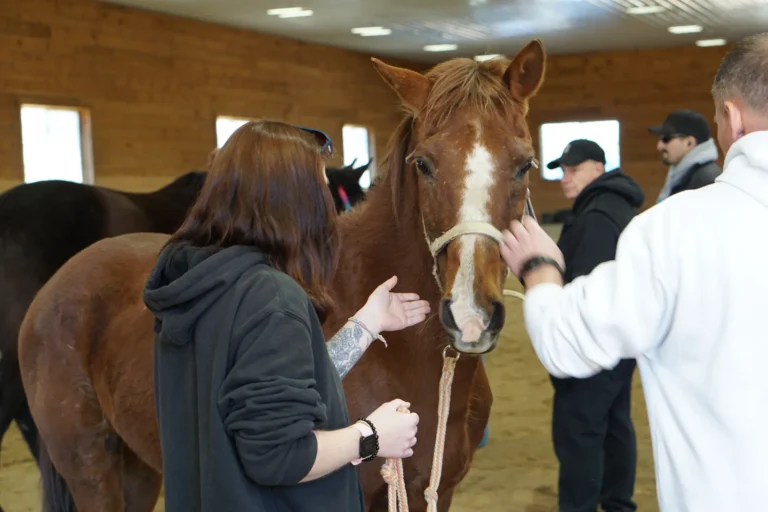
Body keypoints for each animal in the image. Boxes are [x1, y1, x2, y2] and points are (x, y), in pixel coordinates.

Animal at [18, 39, 546, 512]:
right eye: (424, 164)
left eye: (525, 164)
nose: (471, 315)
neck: (407, 360)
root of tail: (55, 286)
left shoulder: (431, 492)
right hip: (92, 468)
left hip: (139, 471)